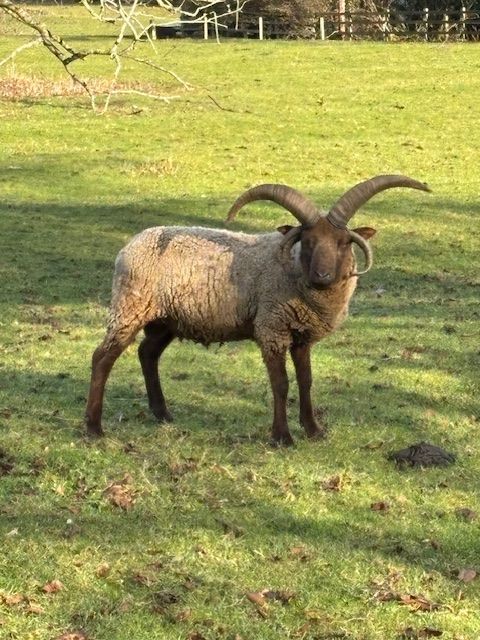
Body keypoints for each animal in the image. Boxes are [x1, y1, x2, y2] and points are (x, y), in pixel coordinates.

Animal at [85, 175, 429, 445]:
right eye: (307, 240)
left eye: (344, 242)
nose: (322, 275)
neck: (294, 274)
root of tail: (128, 247)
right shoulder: (271, 328)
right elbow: (281, 383)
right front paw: (282, 437)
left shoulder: (302, 335)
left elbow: (306, 380)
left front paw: (313, 430)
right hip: (130, 307)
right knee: (102, 358)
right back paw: (93, 428)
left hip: (165, 319)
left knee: (147, 353)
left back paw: (162, 414)